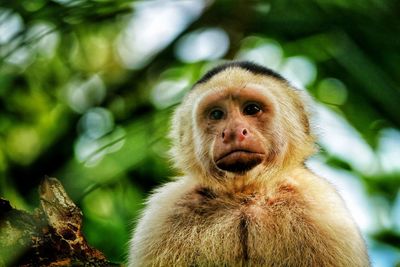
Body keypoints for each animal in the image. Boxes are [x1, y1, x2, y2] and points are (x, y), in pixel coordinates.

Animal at [127, 61, 368, 267]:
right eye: (217, 114)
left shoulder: (322, 208)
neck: (246, 194)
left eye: (251, 109)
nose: (233, 131)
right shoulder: (167, 211)